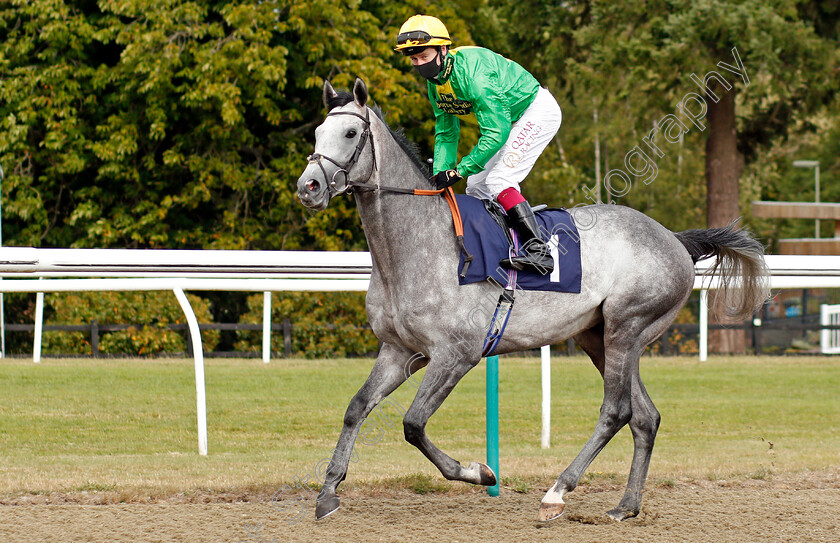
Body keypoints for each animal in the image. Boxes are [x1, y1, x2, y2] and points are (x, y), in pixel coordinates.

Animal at [296, 78, 768, 524]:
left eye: (351, 132)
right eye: (317, 132)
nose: (309, 187)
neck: (414, 247)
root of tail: (674, 239)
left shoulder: (457, 354)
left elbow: (413, 424)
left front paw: (480, 472)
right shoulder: (398, 350)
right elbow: (356, 408)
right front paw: (328, 493)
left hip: (627, 325)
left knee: (616, 410)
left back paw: (557, 492)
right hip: (600, 337)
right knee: (645, 417)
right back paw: (625, 505)